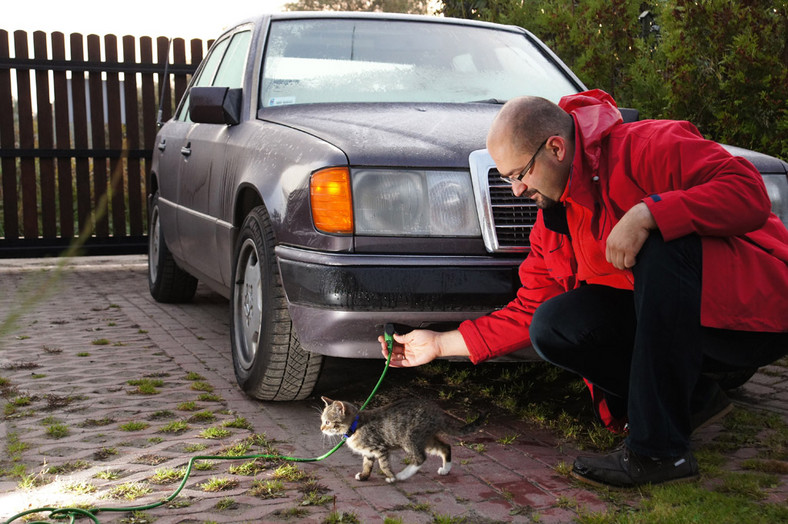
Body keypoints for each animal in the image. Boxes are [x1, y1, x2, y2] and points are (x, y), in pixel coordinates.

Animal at [320, 398, 480, 484]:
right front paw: (364, 475)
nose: (321, 428)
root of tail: (437, 412)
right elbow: (367, 464)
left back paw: (403, 475)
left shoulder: (380, 448)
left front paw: (391, 477)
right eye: (322, 420)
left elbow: (383, 464)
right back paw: (445, 469)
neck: (355, 426)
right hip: (426, 437)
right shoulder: (368, 452)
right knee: (445, 447)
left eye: (327, 422)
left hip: (410, 438)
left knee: (420, 457)